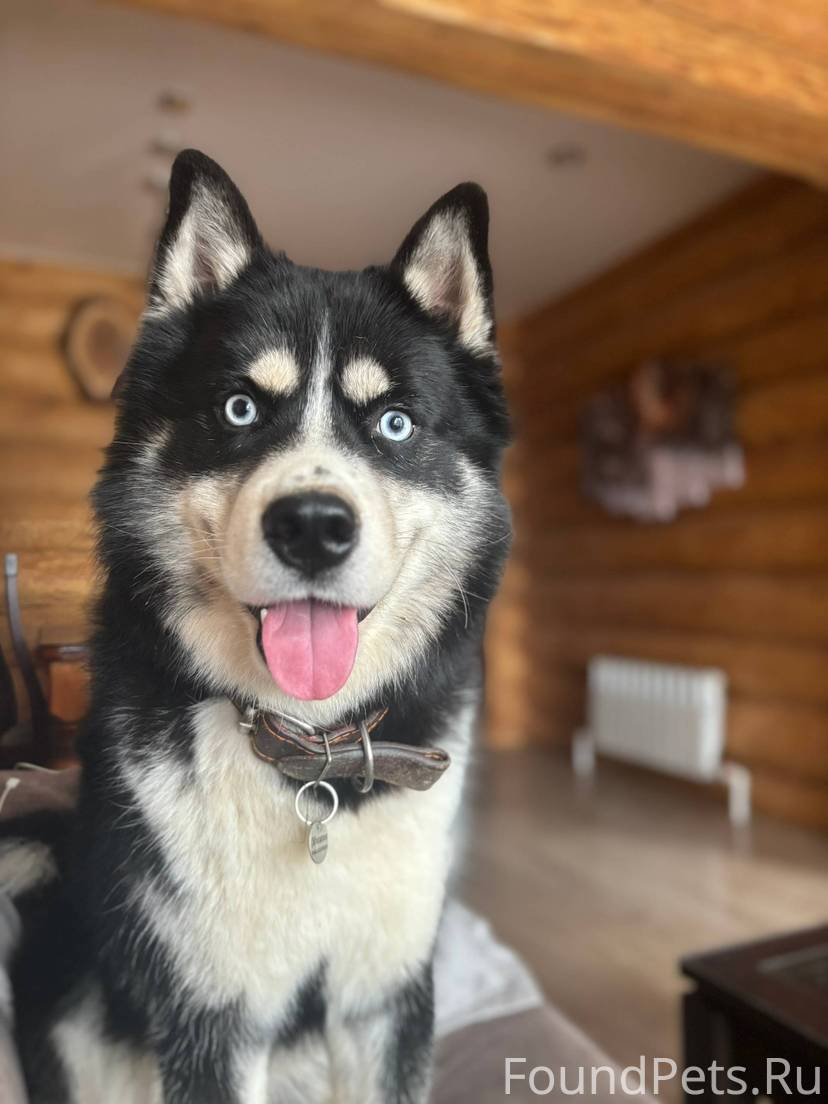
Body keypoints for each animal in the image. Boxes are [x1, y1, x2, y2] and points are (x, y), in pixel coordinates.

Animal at [2, 149, 511, 1103]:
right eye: (240, 409)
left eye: (395, 422)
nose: (312, 526)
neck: (311, 754)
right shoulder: (209, 1015)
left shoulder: (388, 995)